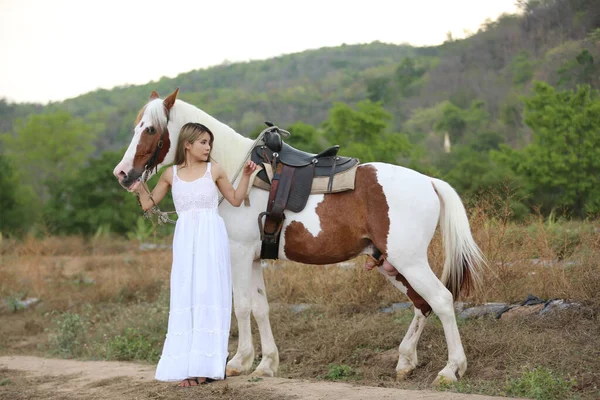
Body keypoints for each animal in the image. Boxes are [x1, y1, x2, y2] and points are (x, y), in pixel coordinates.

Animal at [112, 88, 486, 384]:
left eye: (150, 129)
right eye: (135, 127)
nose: (122, 173)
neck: (237, 174)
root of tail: (429, 181)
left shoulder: (238, 253)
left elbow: (242, 306)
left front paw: (238, 362)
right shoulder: (254, 258)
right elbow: (261, 307)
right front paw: (266, 364)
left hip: (409, 261)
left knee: (441, 300)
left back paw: (451, 370)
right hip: (389, 262)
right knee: (421, 303)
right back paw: (406, 361)